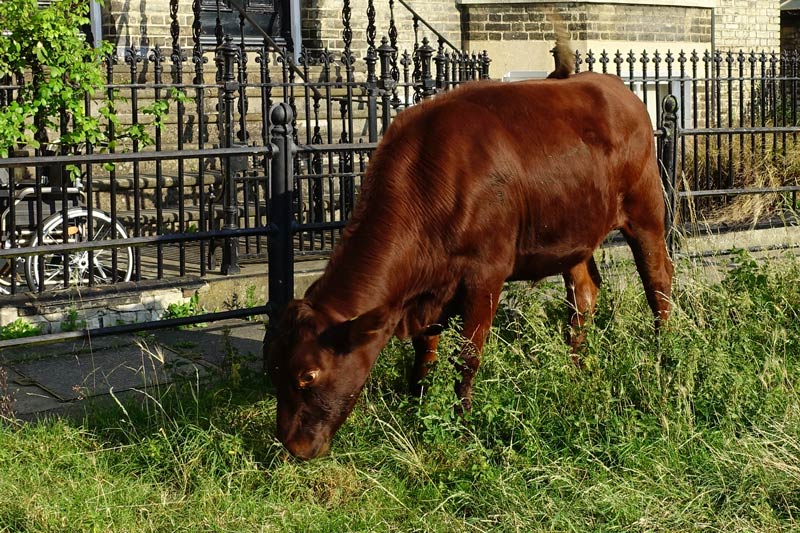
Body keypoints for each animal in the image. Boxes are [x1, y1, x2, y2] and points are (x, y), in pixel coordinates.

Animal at [266, 44, 674, 460]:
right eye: (273, 369)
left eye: (308, 375)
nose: (293, 445)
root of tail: (616, 88)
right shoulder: (430, 292)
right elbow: (425, 352)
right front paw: (417, 405)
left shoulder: (485, 275)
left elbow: (467, 357)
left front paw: (461, 422)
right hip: (574, 231)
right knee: (584, 294)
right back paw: (575, 368)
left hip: (645, 209)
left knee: (658, 281)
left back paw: (665, 354)